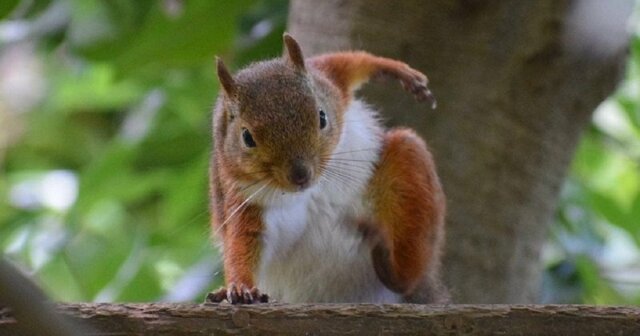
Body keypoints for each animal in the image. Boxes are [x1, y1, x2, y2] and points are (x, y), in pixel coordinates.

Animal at [208, 34, 448, 304]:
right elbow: (243, 242)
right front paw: (240, 287)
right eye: (247, 137)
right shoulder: (244, 200)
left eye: (321, 117)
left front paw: (398, 71)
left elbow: (348, 63)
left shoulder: (328, 80)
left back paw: (393, 266)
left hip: (409, 171)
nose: (301, 175)